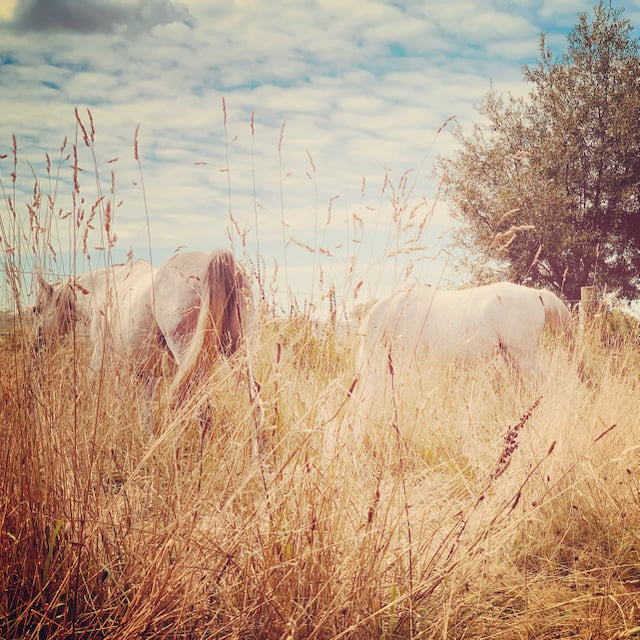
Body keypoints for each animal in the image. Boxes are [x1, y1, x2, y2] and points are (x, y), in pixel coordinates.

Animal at [33, 249, 256, 404]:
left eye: (36, 309)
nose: (37, 345)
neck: (100, 289)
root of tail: (214, 258)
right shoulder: (147, 373)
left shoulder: (100, 355)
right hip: (238, 352)